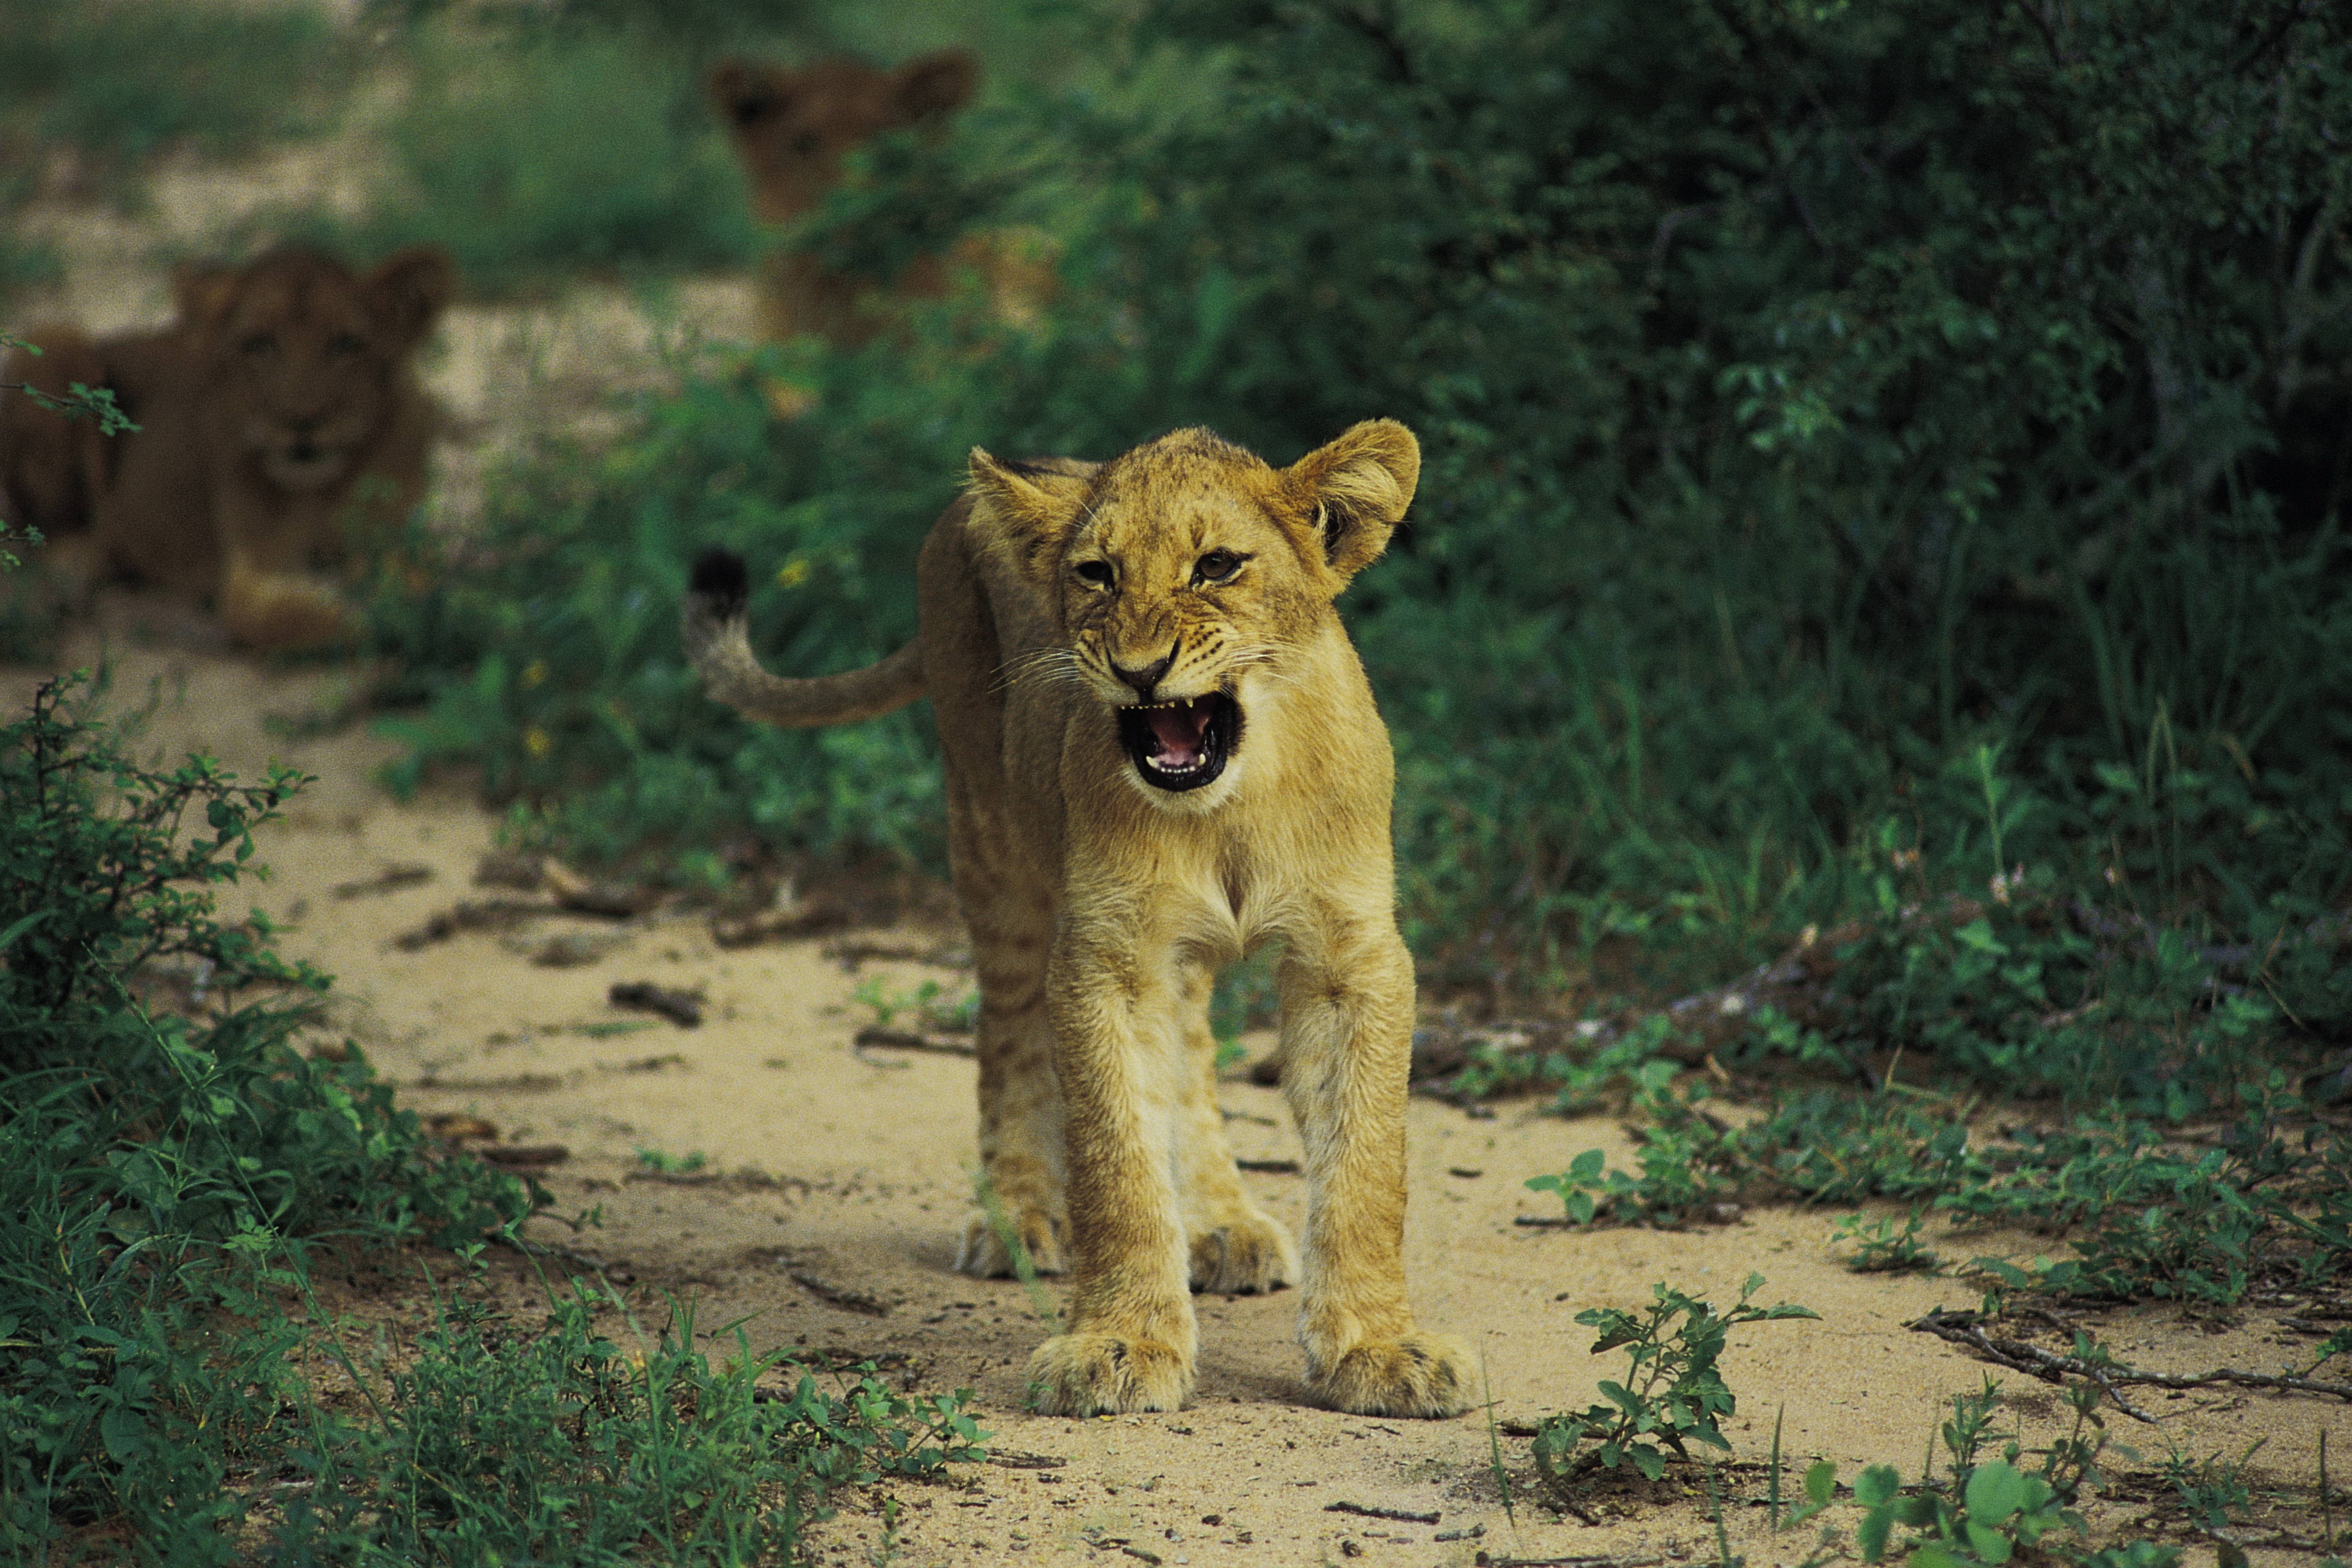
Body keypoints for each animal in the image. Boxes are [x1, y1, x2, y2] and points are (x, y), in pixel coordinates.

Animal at [1, 243, 454, 658]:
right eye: (260, 344)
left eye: (345, 344)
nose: (301, 420)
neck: (320, 488)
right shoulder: (253, 570)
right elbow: (276, 618)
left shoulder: (393, 536)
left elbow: (413, 579)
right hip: (56, 341)